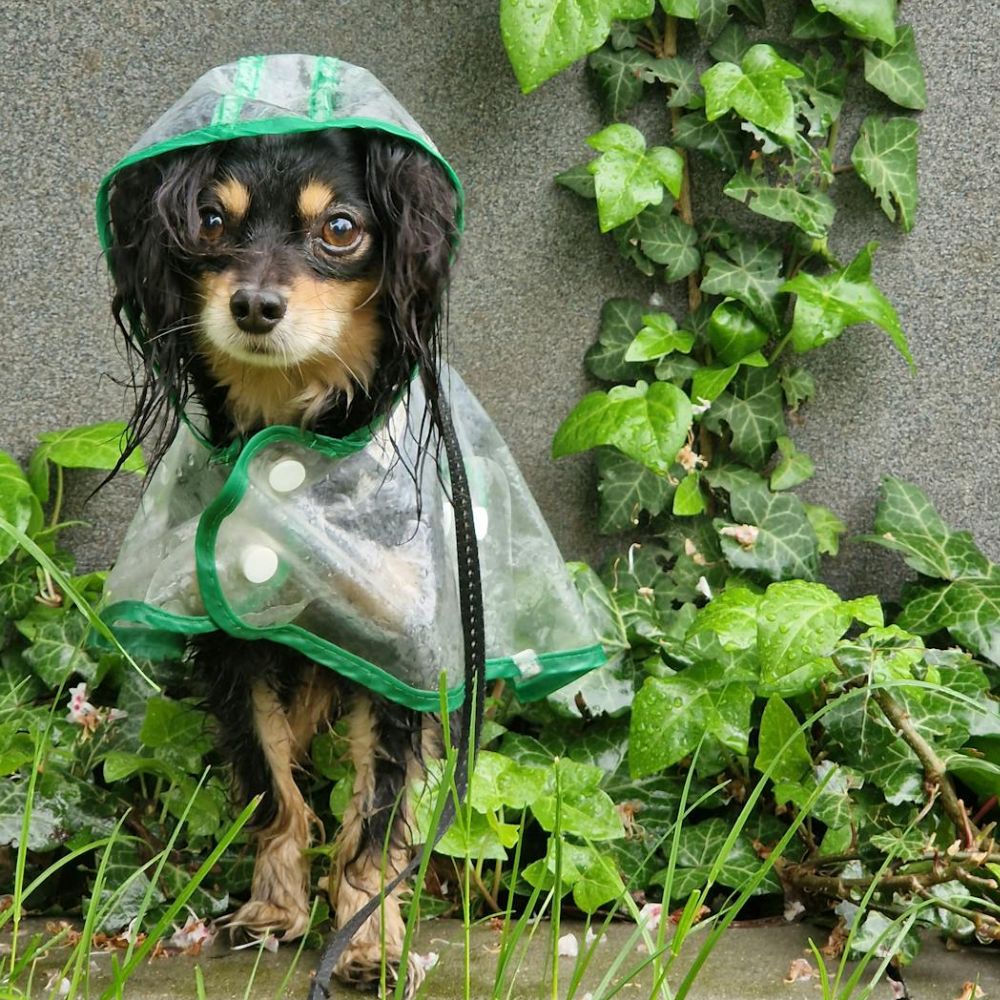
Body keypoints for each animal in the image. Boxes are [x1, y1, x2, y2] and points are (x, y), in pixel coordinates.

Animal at [104, 123, 458, 992]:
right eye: (208, 222)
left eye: (341, 228)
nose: (255, 305)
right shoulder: (232, 648)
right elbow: (272, 788)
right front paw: (276, 910)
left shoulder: (397, 660)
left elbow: (374, 818)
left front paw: (368, 941)